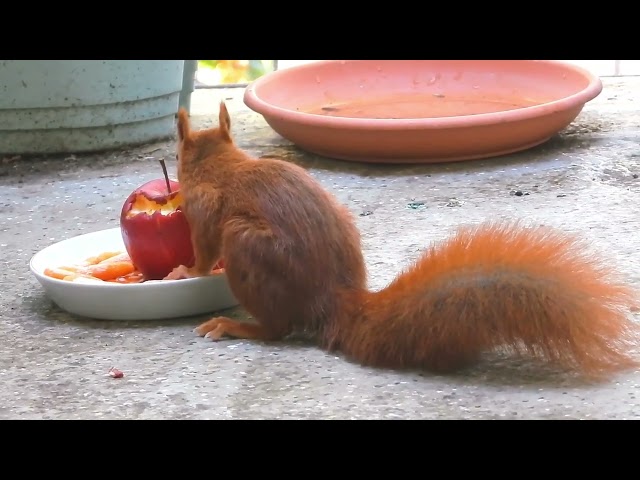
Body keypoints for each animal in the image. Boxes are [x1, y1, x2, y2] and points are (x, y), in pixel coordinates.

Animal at [165, 101, 640, 380]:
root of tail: (335, 304)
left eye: (178, 155)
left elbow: (204, 252)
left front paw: (186, 270)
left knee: (276, 330)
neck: (224, 164)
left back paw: (236, 326)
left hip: (245, 244)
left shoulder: (206, 212)